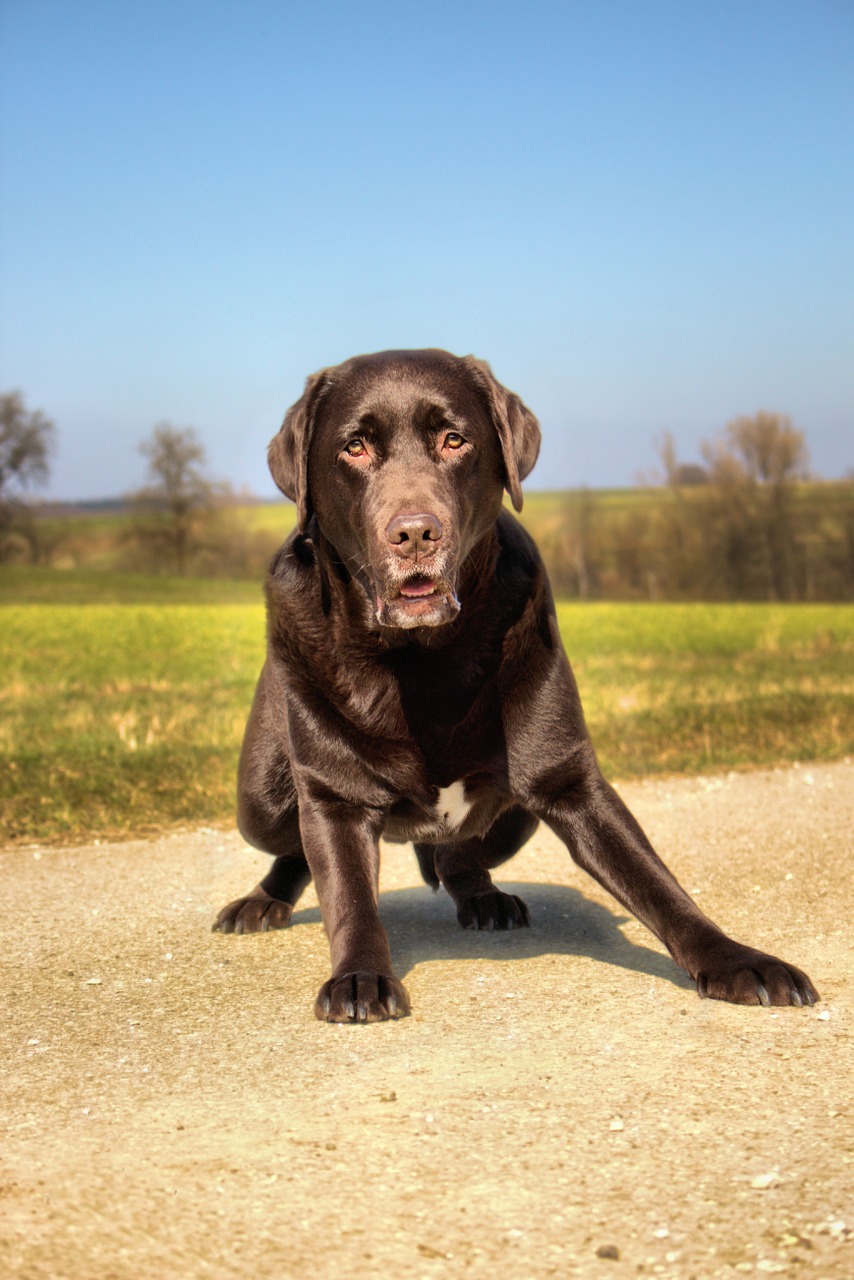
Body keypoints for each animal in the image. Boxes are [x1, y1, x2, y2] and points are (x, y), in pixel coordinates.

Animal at [209, 348, 819, 1018]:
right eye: (354, 447)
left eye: (455, 440)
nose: (416, 532)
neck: (422, 660)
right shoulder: (334, 796)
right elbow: (348, 897)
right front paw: (360, 977)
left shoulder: (569, 779)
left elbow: (657, 883)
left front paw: (736, 960)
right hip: (261, 798)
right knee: (293, 847)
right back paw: (260, 901)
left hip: (515, 820)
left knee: (456, 854)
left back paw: (483, 897)